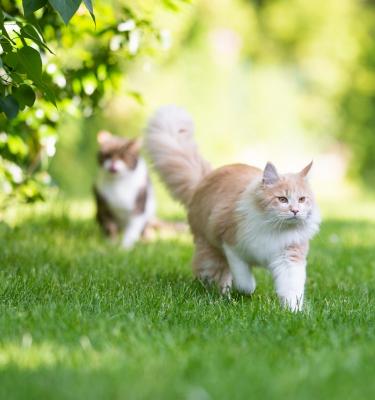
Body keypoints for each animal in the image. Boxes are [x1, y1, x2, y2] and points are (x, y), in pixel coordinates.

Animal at [145, 106, 322, 312]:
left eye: (302, 199)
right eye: (282, 199)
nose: (295, 211)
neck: (274, 228)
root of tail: (204, 179)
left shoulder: (289, 258)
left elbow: (291, 290)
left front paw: (293, 312)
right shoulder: (231, 246)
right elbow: (245, 281)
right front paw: (245, 292)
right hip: (211, 252)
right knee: (210, 274)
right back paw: (221, 295)